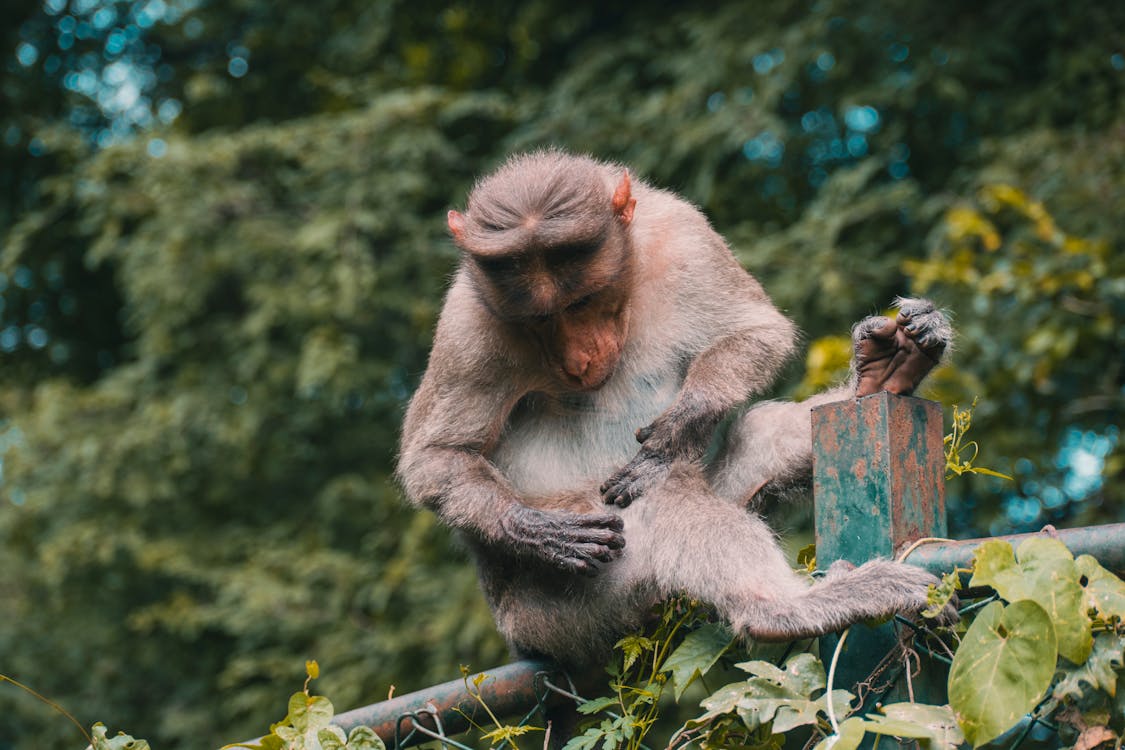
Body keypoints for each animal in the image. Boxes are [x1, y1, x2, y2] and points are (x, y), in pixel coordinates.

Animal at [398, 148, 958, 670]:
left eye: (581, 302)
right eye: (540, 318)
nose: (579, 360)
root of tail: (521, 640)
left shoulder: (681, 232)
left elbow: (758, 329)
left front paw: (681, 425)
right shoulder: (467, 324)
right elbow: (435, 457)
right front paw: (536, 530)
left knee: (741, 443)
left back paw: (883, 376)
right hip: (568, 611)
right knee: (662, 503)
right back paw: (782, 610)